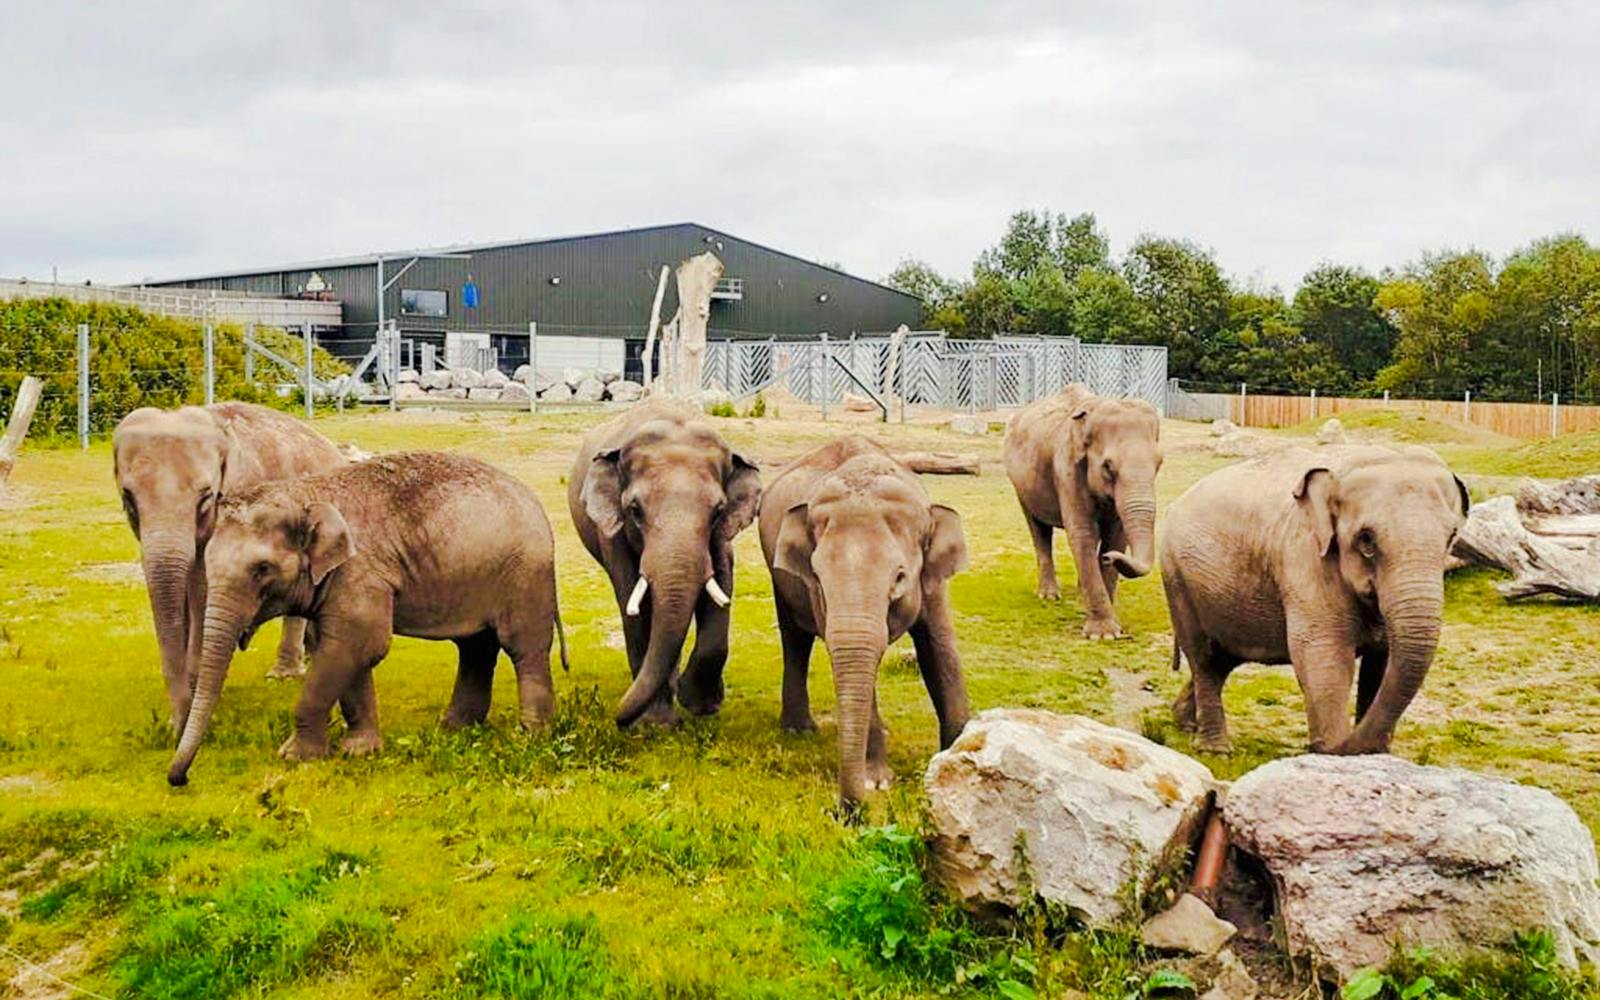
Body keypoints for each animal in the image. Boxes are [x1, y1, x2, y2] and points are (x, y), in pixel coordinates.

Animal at [166, 452, 566, 786]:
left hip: (525, 572)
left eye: (261, 569)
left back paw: (529, 735)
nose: (179, 779)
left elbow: (360, 645)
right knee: (475, 647)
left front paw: (295, 757)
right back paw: (455, 729)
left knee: (522, 647)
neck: (306, 494)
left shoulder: (359, 572)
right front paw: (359, 750)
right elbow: (342, 649)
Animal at [568, 401, 762, 727]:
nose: (617, 719)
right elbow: (634, 603)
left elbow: (721, 583)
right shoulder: (612, 534)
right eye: (634, 510)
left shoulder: (722, 535)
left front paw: (700, 705)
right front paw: (655, 723)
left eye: (717, 511)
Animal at [759, 435, 971, 808]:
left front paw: (958, 758)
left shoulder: (932, 582)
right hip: (778, 573)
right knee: (794, 637)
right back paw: (799, 730)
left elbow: (940, 651)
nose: (848, 809)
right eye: (818, 575)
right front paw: (877, 782)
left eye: (900, 576)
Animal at [1003, 384, 1162, 639]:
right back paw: (1048, 596)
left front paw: (1111, 625)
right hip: (1020, 486)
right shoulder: (1066, 468)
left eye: (1159, 463)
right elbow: (1083, 533)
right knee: (1038, 529)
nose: (1107, 558)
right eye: (1108, 467)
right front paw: (1103, 634)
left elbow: (1116, 536)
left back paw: (1078, 593)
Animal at [1160, 444, 1469, 755]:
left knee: (1223, 659)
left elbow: (1381, 662)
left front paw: (1375, 754)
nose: (1346, 743)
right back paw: (1216, 751)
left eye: (1451, 537)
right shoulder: (1305, 557)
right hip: (1177, 578)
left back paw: (1184, 723)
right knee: (1202, 656)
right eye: (1366, 540)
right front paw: (1332, 750)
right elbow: (1323, 652)